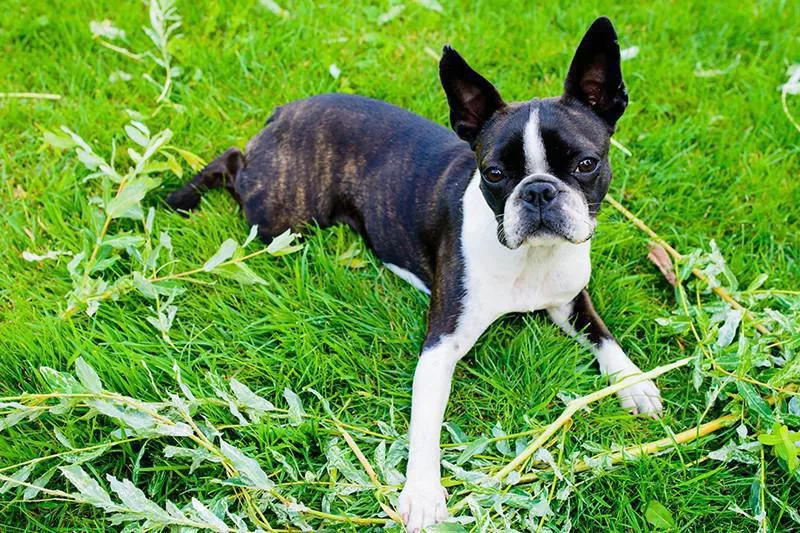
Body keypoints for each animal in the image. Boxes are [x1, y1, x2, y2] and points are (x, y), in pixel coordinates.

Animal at [166, 15, 660, 528]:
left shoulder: (569, 300)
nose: (539, 190)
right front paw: (422, 493)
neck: (531, 258)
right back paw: (183, 195)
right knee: (232, 160)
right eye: (494, 173)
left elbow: (603, 334)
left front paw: (635, 382)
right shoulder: (441, 345)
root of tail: (285, 112)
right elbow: (425, 426)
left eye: (586, 164)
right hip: (280, 218)